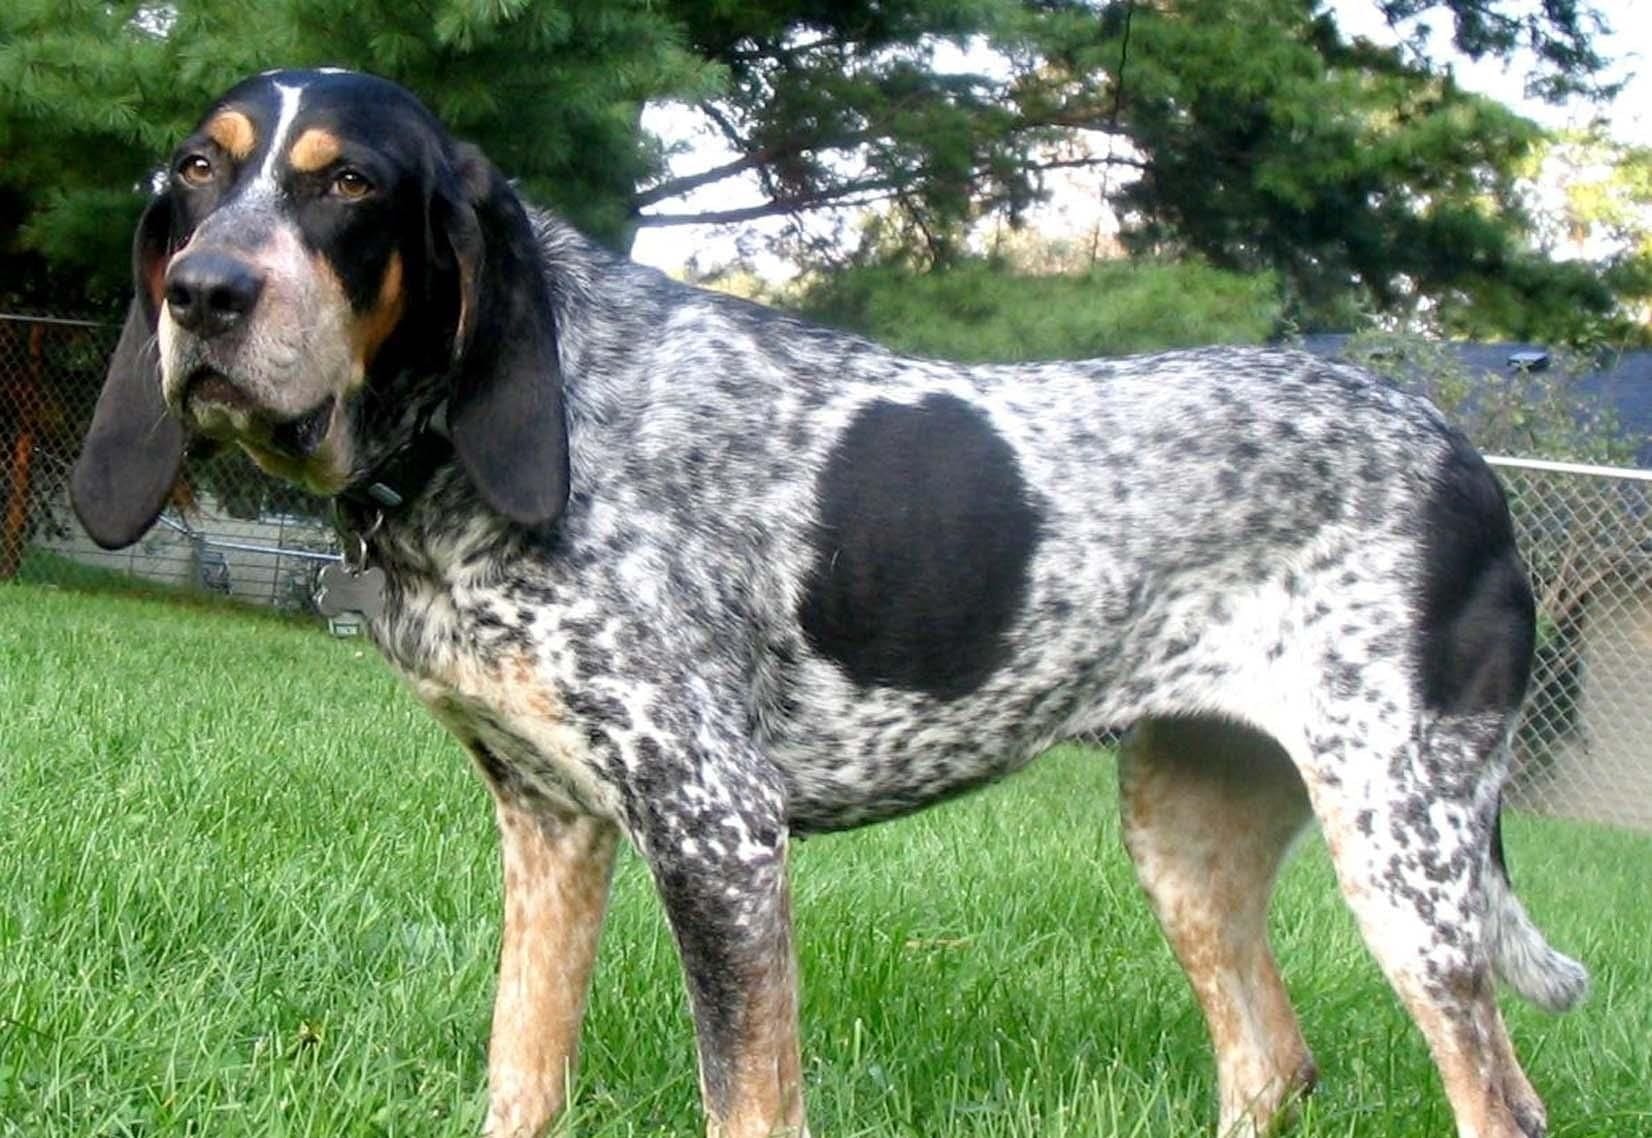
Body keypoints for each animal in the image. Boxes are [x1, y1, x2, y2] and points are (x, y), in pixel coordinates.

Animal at [74, 68, 1585, 1136]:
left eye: (350, 185)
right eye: (198, 170)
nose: (203, 293)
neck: (472, 453)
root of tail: (1468, 462)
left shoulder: (719, 833)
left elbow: (746, 1101)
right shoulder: (553, 824)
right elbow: (521, 1078)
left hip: (1405, 852)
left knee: (1498, 1100)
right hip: (1189, 830)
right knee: (1271, 1059)